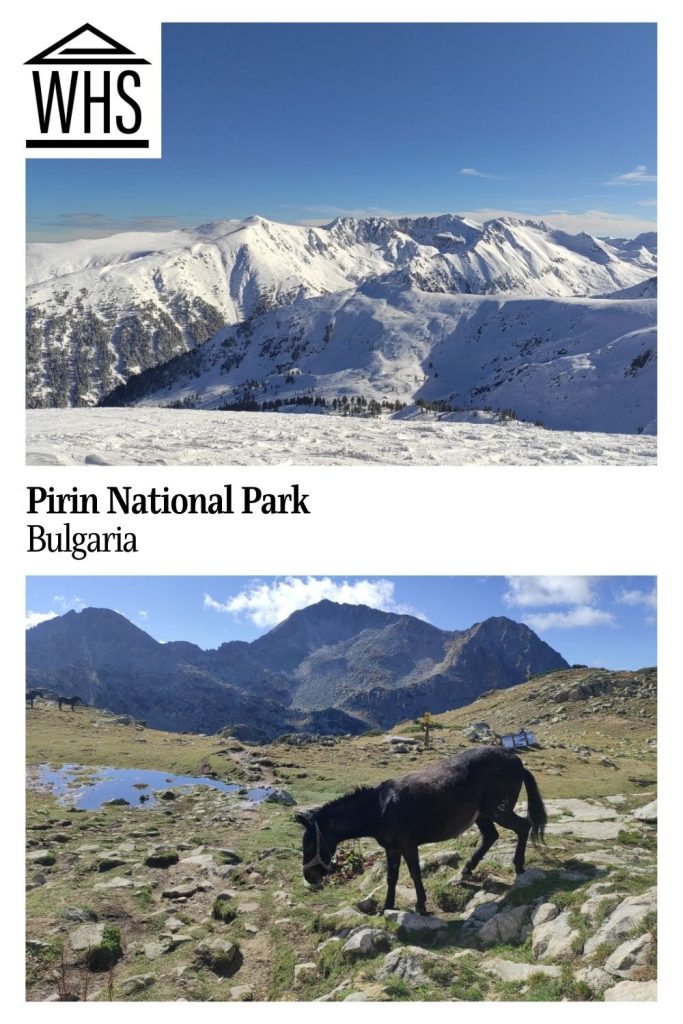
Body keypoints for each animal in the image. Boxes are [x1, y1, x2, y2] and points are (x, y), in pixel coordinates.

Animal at [296, 745, 548, 913]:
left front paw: (420, 906)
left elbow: (415, 873)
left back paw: (519, 866)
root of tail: (516, 760)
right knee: (490, 836)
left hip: (498, 811)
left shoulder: (408, 846)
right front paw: (387, 907)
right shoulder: (391, 848)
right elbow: (392, 877)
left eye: (309, 844)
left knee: (523, 827)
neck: (380, 809)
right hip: (483, 815)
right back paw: (467, 869)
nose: (309, 877)